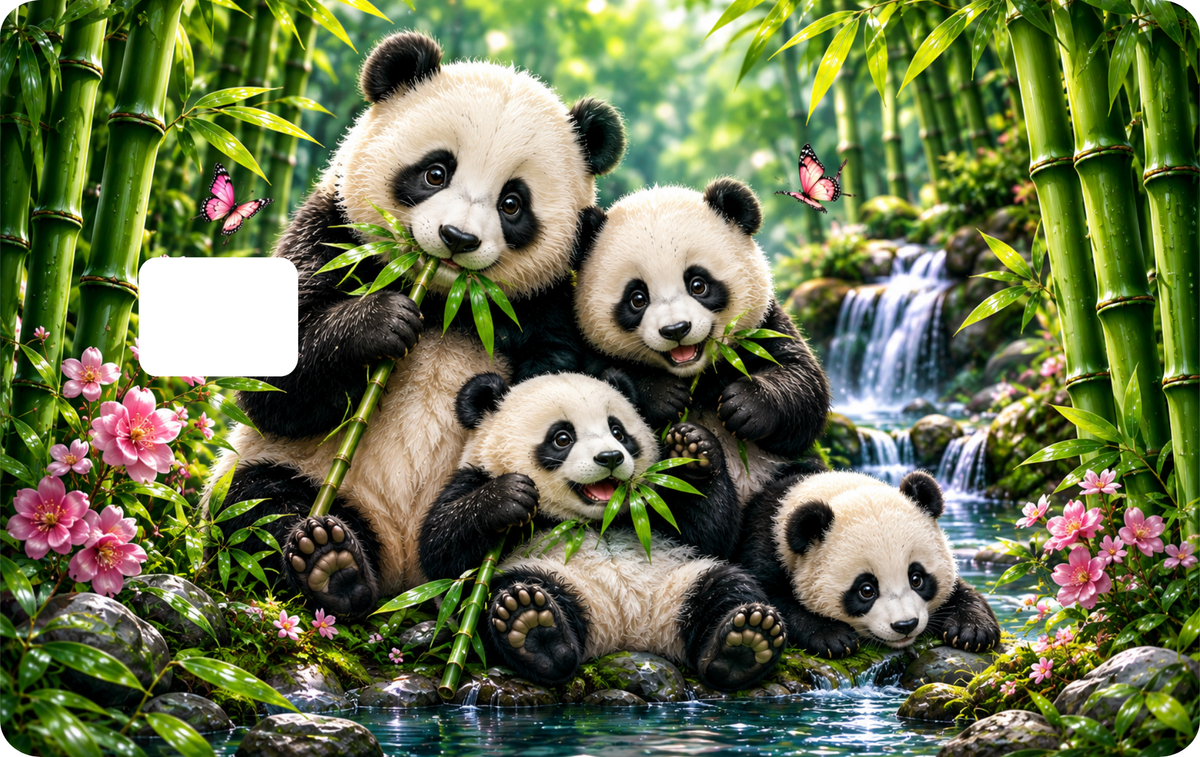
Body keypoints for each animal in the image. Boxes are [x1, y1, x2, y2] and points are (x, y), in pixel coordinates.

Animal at [206, 31, 626, 621]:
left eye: (512, 202)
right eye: (435, 172)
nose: (457, 238)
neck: (447, 300)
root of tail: (402, 582)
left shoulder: (554, 295)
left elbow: (562, 369)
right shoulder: (332, 234)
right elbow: (272, 384)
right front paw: (378, 324)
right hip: (303, 473)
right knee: (256, 505)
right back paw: (329, 565)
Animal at [418, 371, 785, 691]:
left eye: (618, 432)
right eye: (562, 438)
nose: (610, 457)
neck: (596, 519)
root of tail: (628, 635)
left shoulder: (650, 506)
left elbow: (709, 534)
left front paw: (692, 449)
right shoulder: (473, 477)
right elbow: (441, 552)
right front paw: (508, 496)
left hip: (678, 579)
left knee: (723, 586)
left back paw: (745, 642)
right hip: (546, 575)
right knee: (500, 596)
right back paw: (535, 630)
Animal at [572, 180, 831, 509]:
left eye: (698, 284)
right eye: (637, 298)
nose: (676, 329)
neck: (697, 374)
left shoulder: (763, 328)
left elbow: (803, 384)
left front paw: (744, 405)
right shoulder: (586, 347)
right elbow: (598, 380)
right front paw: (664, 396)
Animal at [735, 469, 1001, 658]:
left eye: (917, 579)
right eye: (866, 590)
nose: (906, 625)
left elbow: (962, 591)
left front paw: (973, 630)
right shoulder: (764, 545)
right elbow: (773, 597)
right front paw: (833, 638)